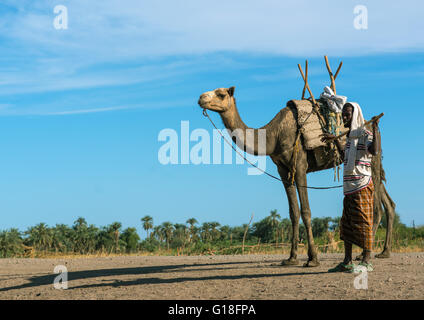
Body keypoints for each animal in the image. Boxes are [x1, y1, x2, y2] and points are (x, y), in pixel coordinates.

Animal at [197, 86, 396, 266]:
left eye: (221, 94)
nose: (201, 98)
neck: (273, 135)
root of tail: (372, 125)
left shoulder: (300, 165)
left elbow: (306, 211)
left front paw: (312, 258)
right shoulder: (283, 170)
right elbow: (293, 212)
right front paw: (291, 258)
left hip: (372, 159)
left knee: (376, 206)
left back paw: (364, 253)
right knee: (388, 203)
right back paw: (383, 252)